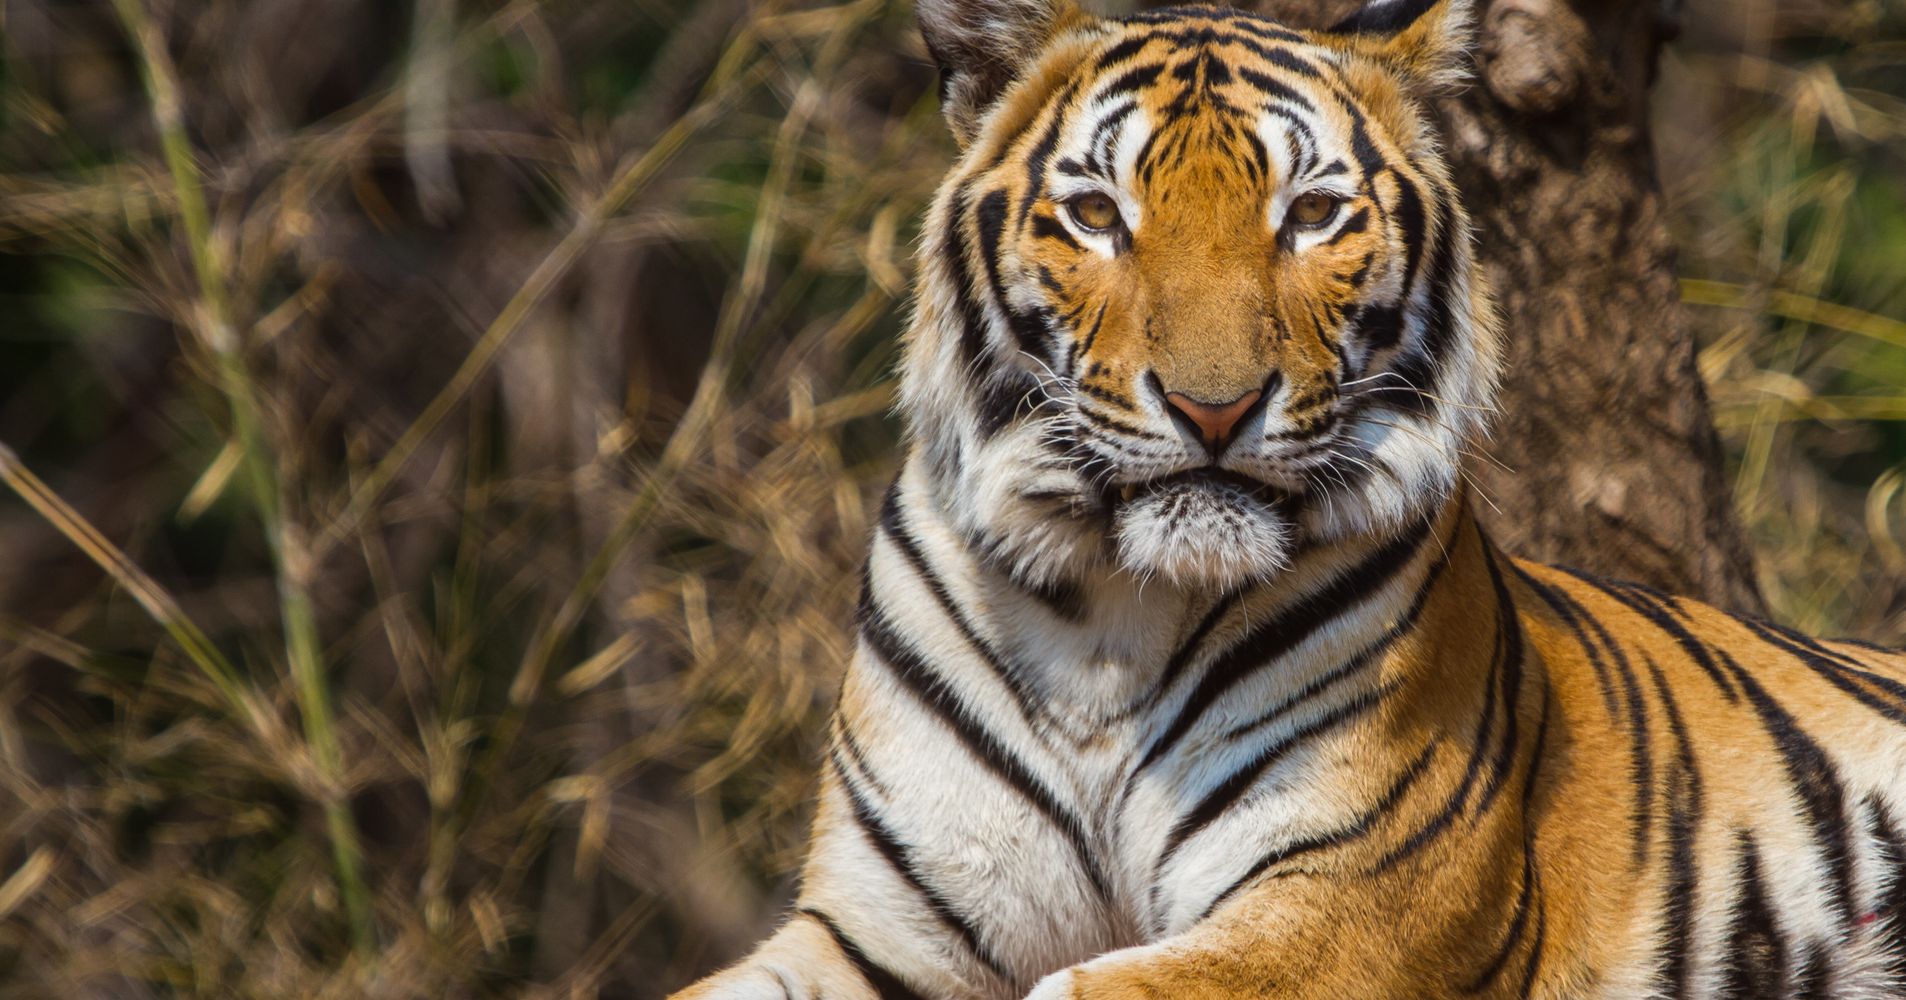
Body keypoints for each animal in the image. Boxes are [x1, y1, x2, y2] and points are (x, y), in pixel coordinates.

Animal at [667, 0, 1906, 990]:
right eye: (1098, 215)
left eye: (1310, 215)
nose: (1213, 408)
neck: (1107, 614)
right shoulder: (877, 930)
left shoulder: (1351, 901)